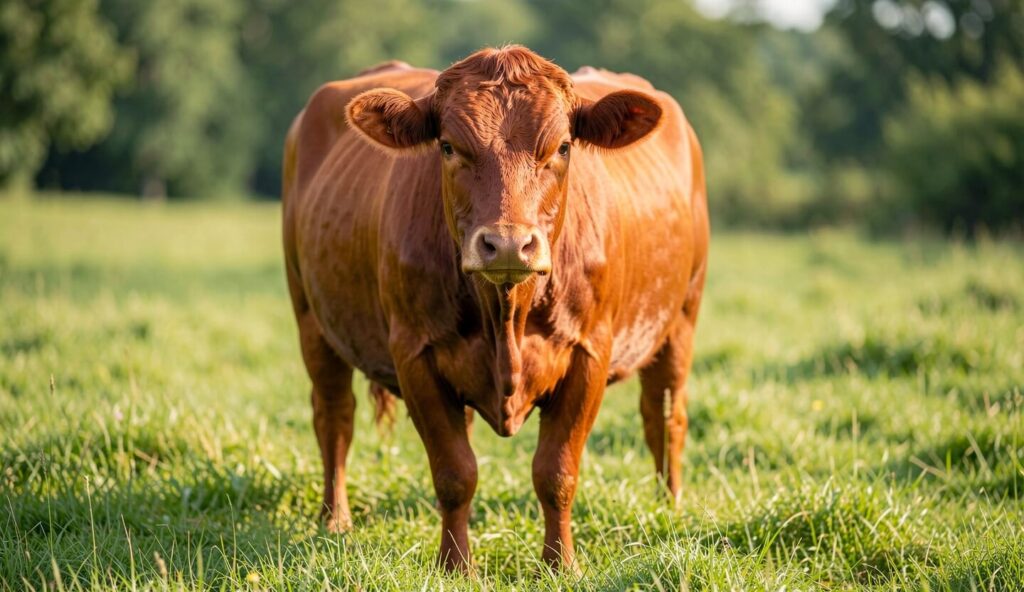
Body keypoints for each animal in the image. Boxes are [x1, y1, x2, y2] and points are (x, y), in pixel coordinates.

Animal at [282, 45, 709, 573]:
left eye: (562, 148)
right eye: (448, 147)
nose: (507, 245)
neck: (506, 315)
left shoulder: (590, 352)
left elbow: (556, 472)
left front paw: (560, 563)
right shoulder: (415, 354)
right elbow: (454, 472)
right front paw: (455, 565)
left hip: (682, 316)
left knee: (665, 413)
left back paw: (669, 507)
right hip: (311, 316)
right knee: (334, 415)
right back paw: (335, 520)